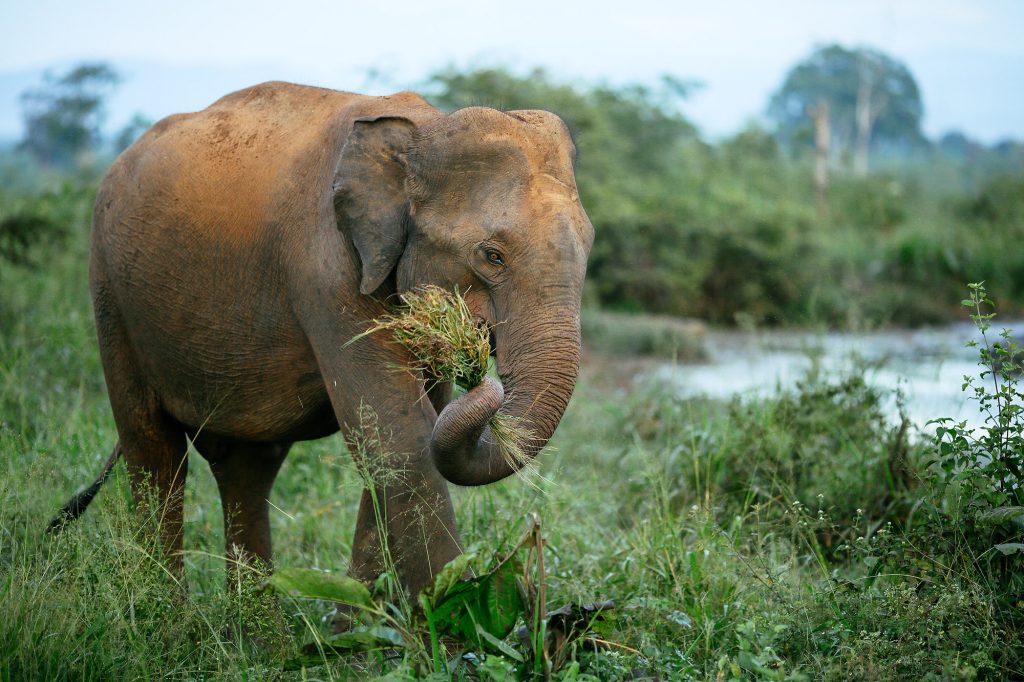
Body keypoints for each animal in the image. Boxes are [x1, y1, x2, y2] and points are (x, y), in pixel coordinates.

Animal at [56, 80, 598, 593]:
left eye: (589, 243)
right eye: (492, 255)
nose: (485, 379)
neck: (423, 128)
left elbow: (404, 437)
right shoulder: (326, 269)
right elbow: (399, 438)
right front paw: (454, 618)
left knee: (246, 466)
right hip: (110, 290)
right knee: (154, 453)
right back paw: (168, 618)